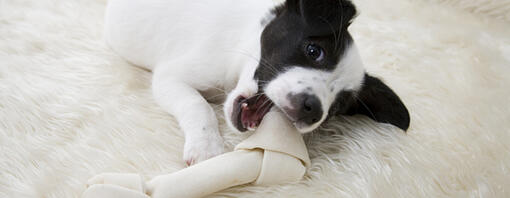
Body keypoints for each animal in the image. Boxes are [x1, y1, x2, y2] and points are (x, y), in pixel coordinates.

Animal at [104, 0, 410, 166]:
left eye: (338, 106)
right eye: (314, 51)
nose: (313, 109)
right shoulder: (170, 77)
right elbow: (197, 105)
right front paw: (206, 147)